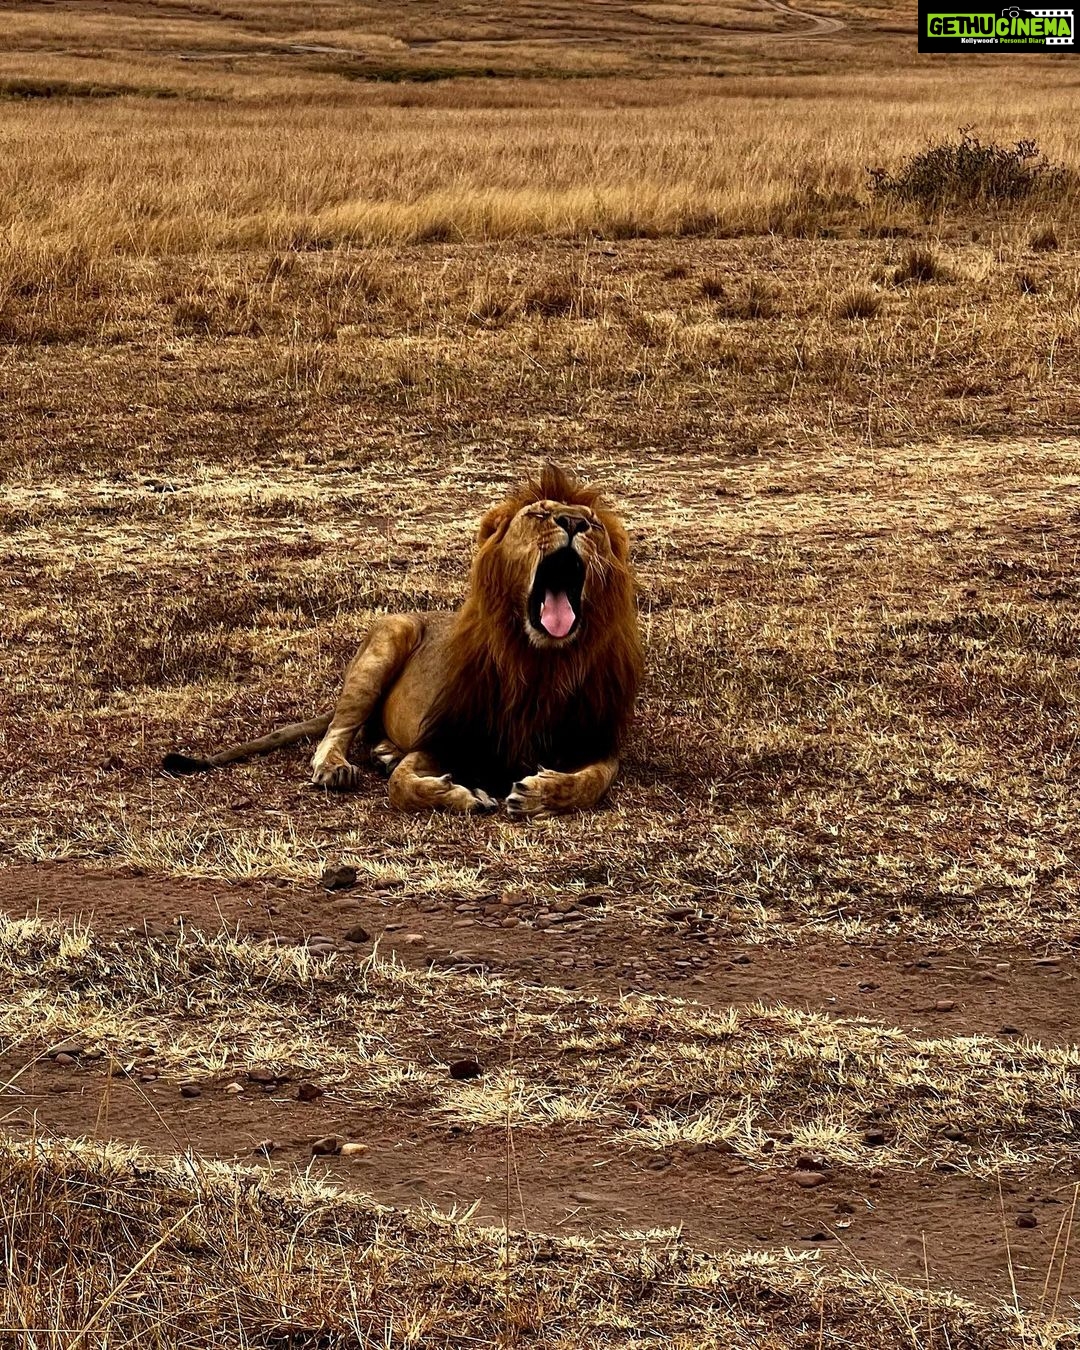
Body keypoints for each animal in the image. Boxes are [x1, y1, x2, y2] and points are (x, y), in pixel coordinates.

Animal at [163, 465, 643, 817]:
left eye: (594, 526)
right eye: (539, 515)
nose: (574, 522)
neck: (539, 664)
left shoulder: (594, 740)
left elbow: (593, 782)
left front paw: (541, 794)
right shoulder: (443, 739)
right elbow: (403, 787)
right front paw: (462, 796)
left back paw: (385, 752)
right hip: (388, 640)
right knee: (338, 730)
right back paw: (338, 767)